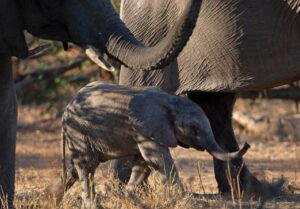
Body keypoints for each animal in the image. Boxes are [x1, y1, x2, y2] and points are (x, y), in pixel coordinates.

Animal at [62, 81, 250, 208]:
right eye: (193, 128)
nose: (247, 143)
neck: (170, 101)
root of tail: (67, 107)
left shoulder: (145, 131)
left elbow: (144, 163)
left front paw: (130, 198)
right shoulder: (143, 127)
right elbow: (158, 160)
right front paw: (184, 201)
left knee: (77, 167)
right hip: (78, 130)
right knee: (87, 166)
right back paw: (92, 205)